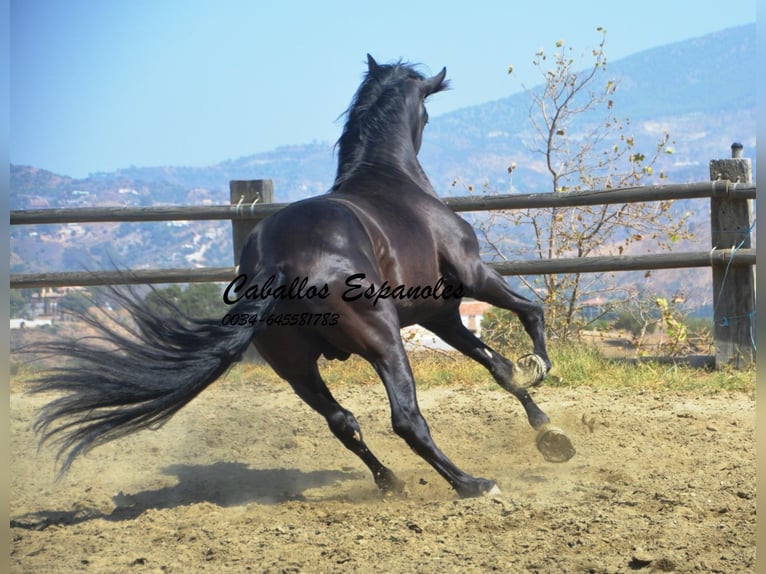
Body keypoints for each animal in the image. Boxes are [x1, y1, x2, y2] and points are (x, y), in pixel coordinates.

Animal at [33, 56, 572, 502]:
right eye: (425, 112)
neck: (391, 178)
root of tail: (277, 260)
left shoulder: (439, 313)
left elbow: (497, 367)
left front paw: (550, 434)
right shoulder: (472, 277)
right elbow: (530, 312)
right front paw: (541, 368)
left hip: (294, 366)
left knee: (342, 422)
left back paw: (391, 482)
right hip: (383, 341)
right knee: (406, 420)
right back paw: (471, 484)